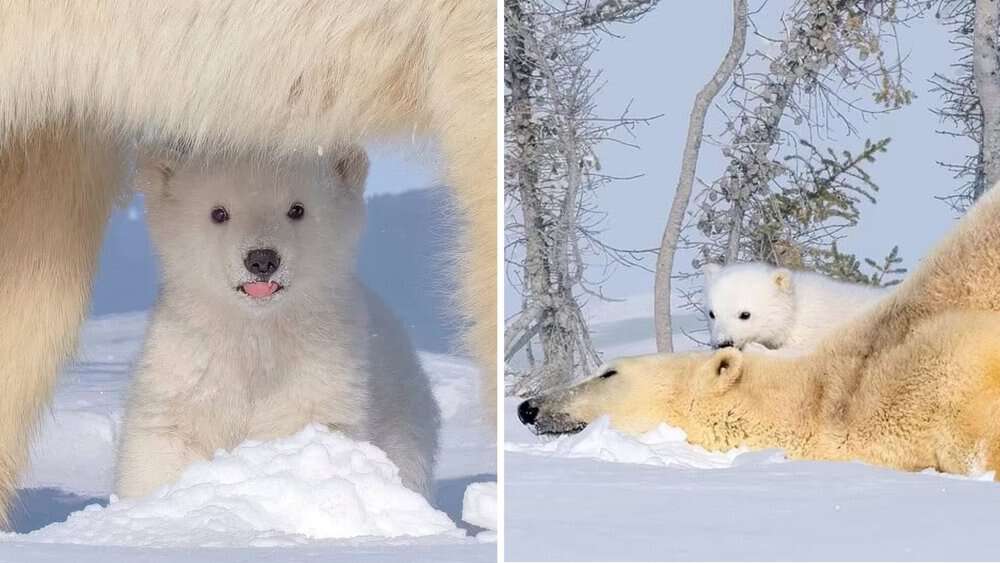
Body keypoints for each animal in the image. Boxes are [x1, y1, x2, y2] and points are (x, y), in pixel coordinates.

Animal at [116, 145, 440, 499]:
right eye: (219, 213)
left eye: (297, 209)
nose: (261, 260)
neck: (256, 332)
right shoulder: (186, 367)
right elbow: (164, 442)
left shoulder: (321, 370)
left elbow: (298, 427)